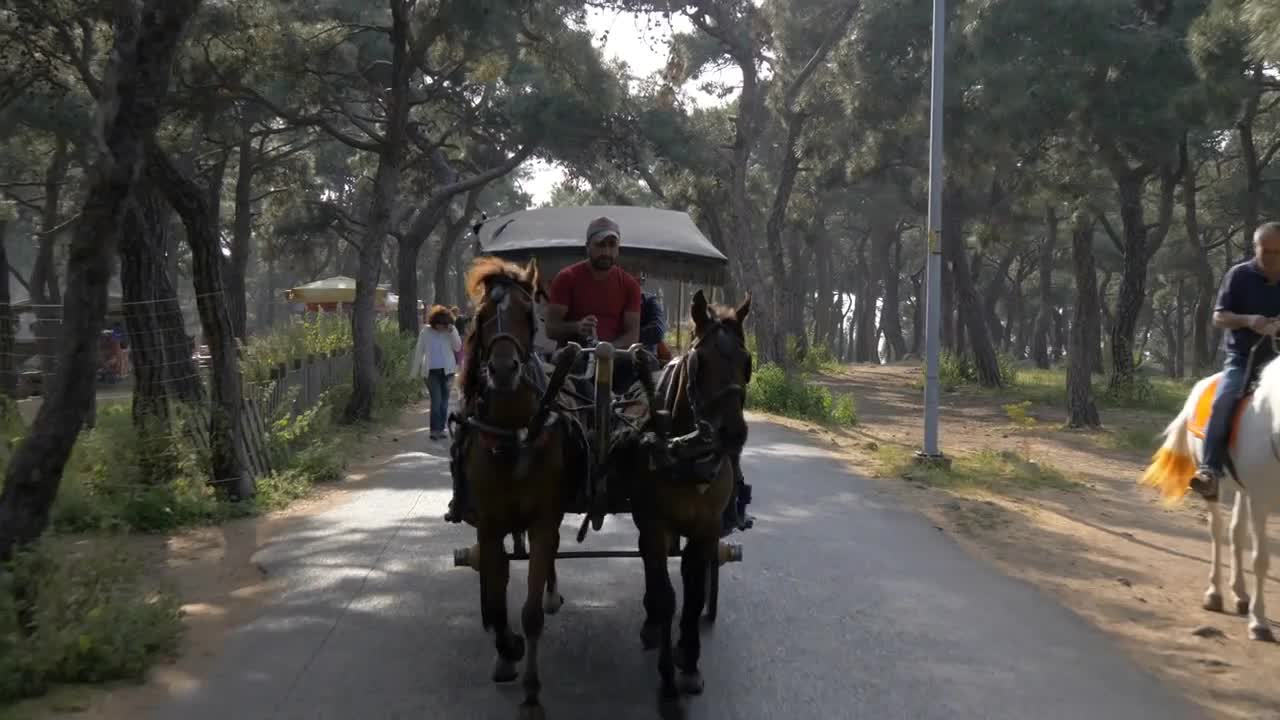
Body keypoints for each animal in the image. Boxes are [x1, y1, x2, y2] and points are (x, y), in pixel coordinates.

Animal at [453, 254, 568, 712]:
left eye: (527, 313)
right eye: (482, 316)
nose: (502, 369)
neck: (513, 432)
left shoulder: (542, 520)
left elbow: (530, 611)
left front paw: (533, 691)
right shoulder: (488, 524)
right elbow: (494, 598)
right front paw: (507, 650)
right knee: (497, 578)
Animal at [619, 288, 747, 707]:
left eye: (748, 363)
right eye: (699, 362)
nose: (733, 434)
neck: (688, 450)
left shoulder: (706, 527)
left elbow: (692, 591)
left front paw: (689, 663)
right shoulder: (655, 523)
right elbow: (666, 596)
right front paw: (667, 684)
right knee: (649, 564)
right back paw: (651, 625)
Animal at [1146, 356, 1280, 640]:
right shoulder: (1260, 500)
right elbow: (1260, 559)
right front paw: (1259, 622)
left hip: (1242, 489)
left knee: (1236, 532)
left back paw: (1240, 595)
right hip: (1213, 486)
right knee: (1217, 530)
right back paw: (1215, 594)